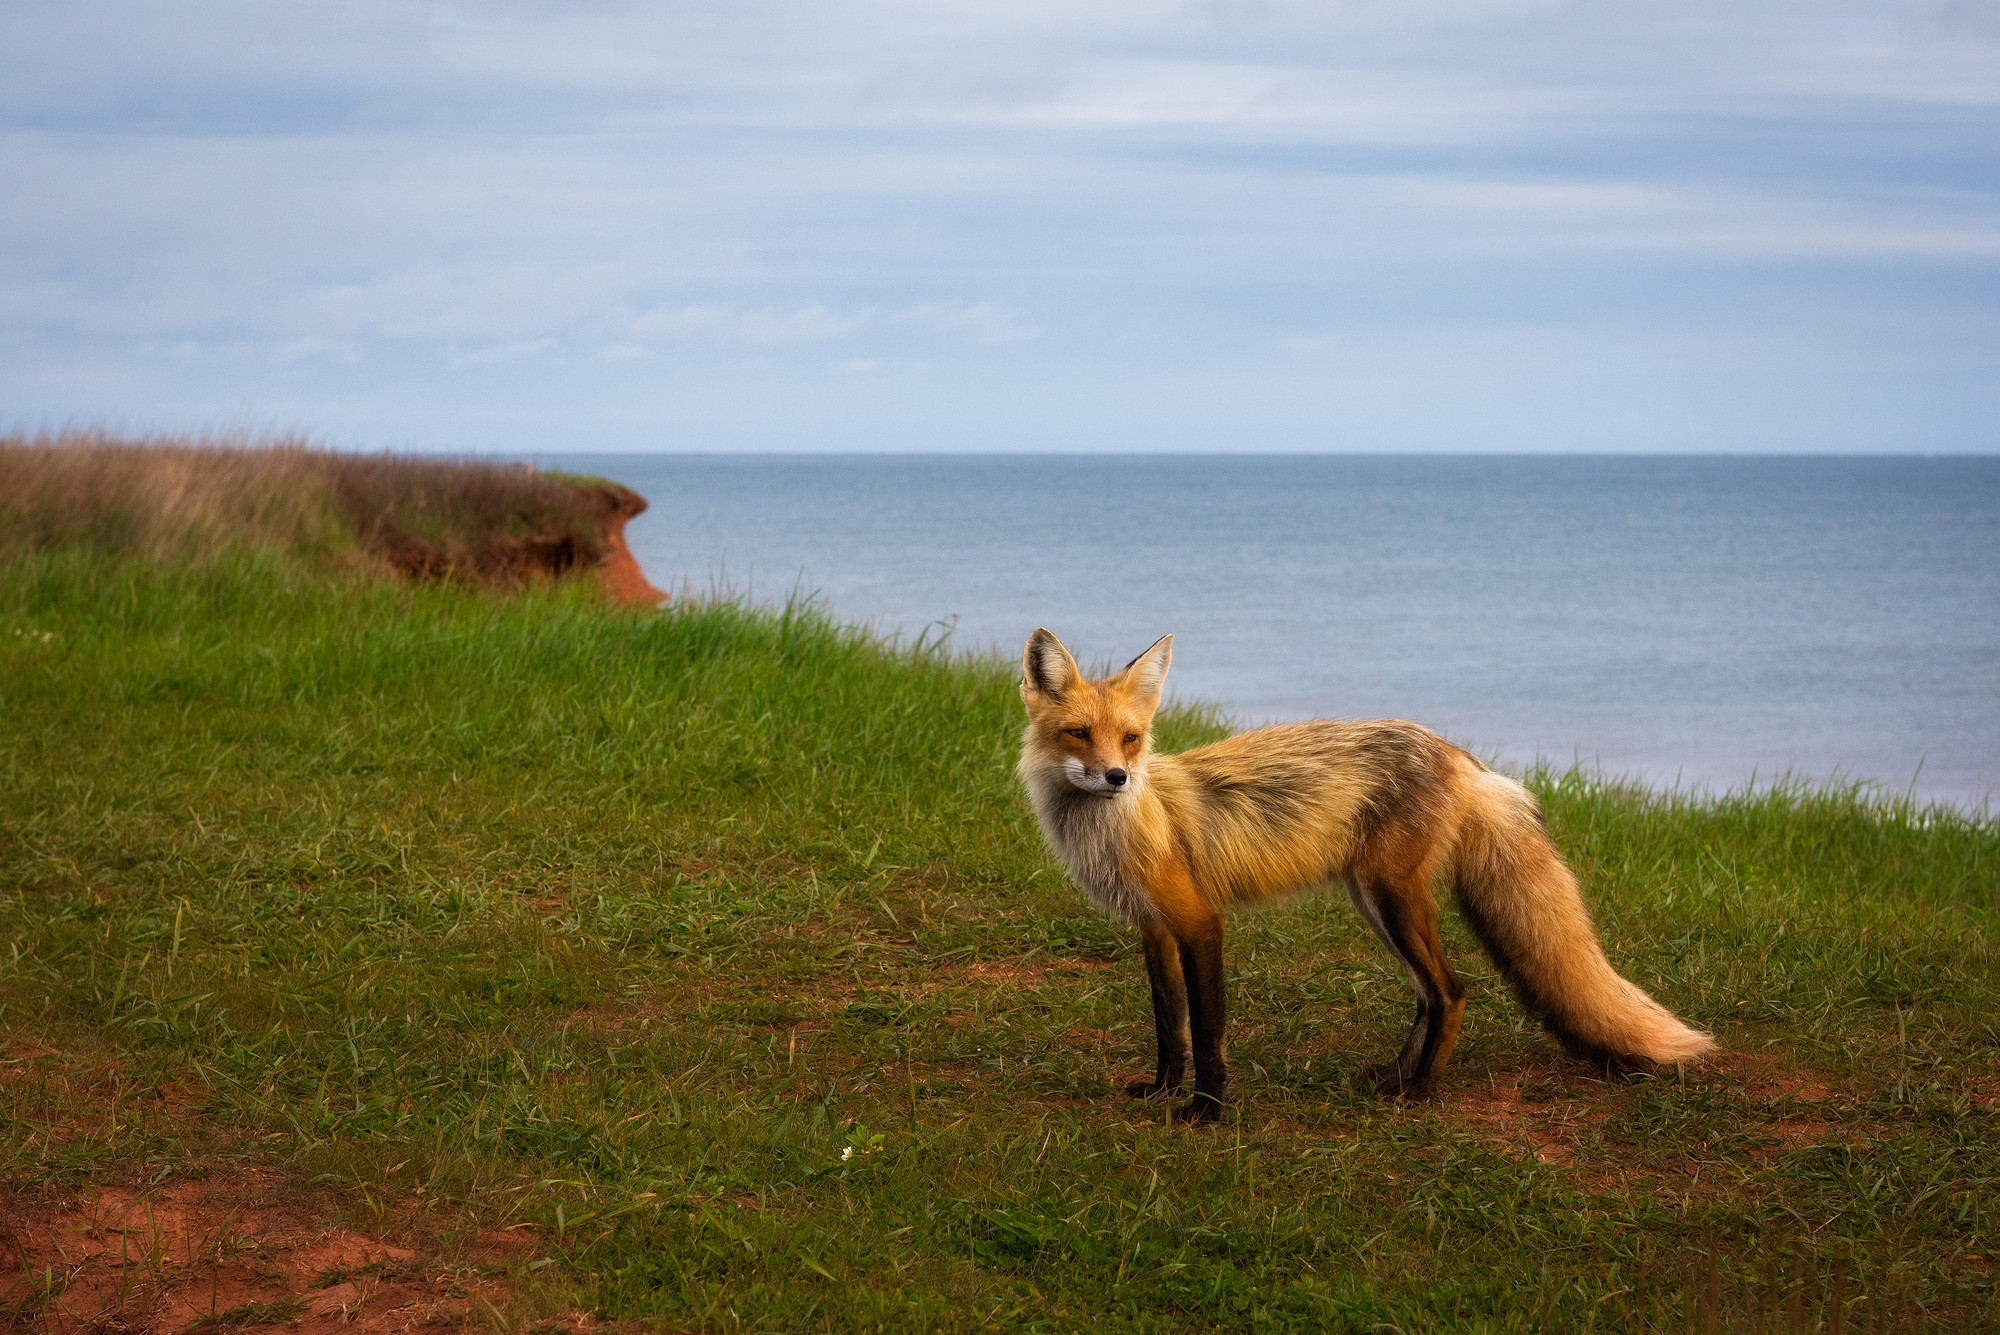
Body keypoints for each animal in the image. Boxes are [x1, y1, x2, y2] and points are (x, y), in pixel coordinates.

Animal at [1024, 631, 1712, 1119]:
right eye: (1079, 733)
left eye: (1131, 738)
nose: (1116, 778)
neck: (1127, 826)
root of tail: (1455, 752)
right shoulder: (1154, 928)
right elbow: (1171, 1027)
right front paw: (1165, 1091)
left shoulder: (1199, 924)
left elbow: (1209, 1031)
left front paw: (1206, 1112)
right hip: (1373, 903)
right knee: (1425, 994)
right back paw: (1395, 1076)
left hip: (1394, 899)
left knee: (1452, 991)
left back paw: (1419, 1093)